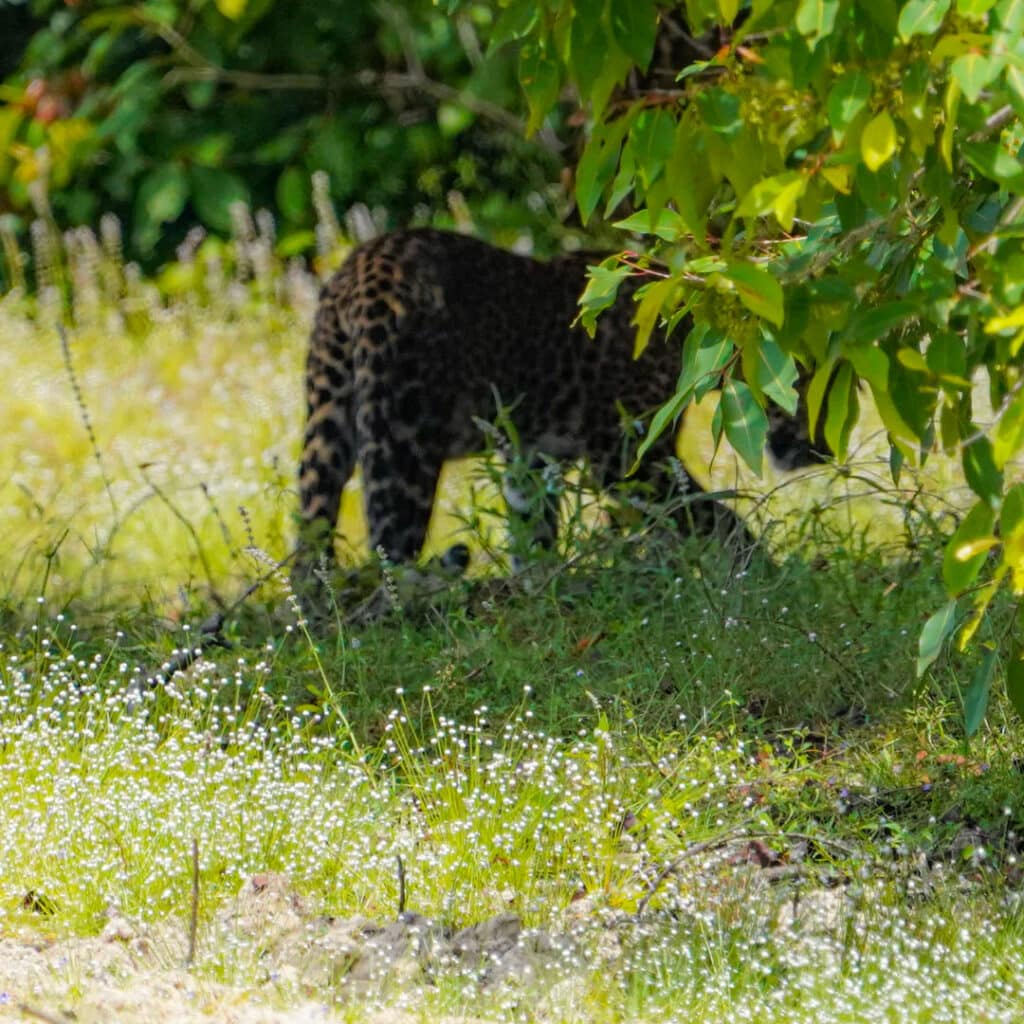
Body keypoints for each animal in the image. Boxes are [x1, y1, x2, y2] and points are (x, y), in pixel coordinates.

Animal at [292, 226, 827, 593]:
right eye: (800, 387)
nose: (820, 451)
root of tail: (363, 265)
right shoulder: (625, 457)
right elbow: (707, 512)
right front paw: (762, 570)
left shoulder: (531, 459)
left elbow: (533, 530)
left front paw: (536, 585)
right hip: (402, 436)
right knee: (391, 549)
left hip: (327, 419)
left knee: (310, 540)